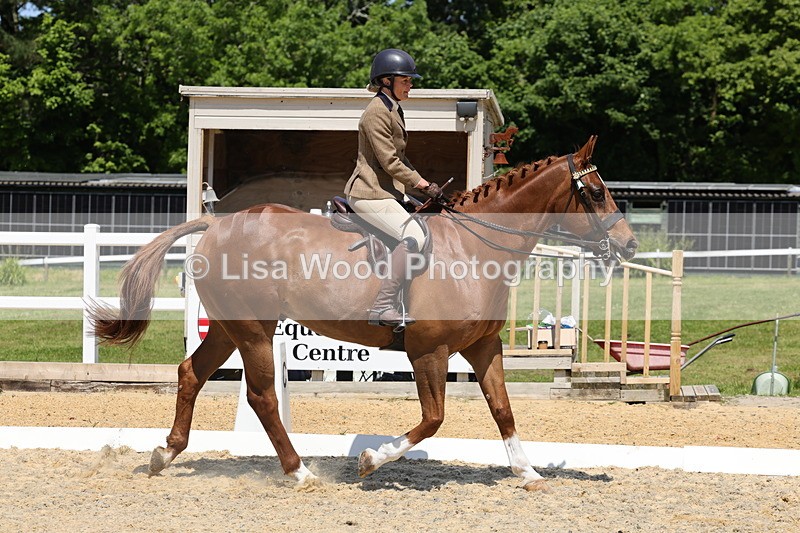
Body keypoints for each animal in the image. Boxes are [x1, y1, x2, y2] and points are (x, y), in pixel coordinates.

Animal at [89, 136, 637, 492]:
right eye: (594, 192)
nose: (628, 245)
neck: (474, 248)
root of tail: (217, 223)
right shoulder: (429, 350)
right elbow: (434, 418)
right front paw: (372, 460)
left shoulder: (483, 345)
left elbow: (502, 409)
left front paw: (528, 471)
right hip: (253, 330)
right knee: (263, 397)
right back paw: (299, 472)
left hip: (230, 327)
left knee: (191, 373)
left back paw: (164, 454)